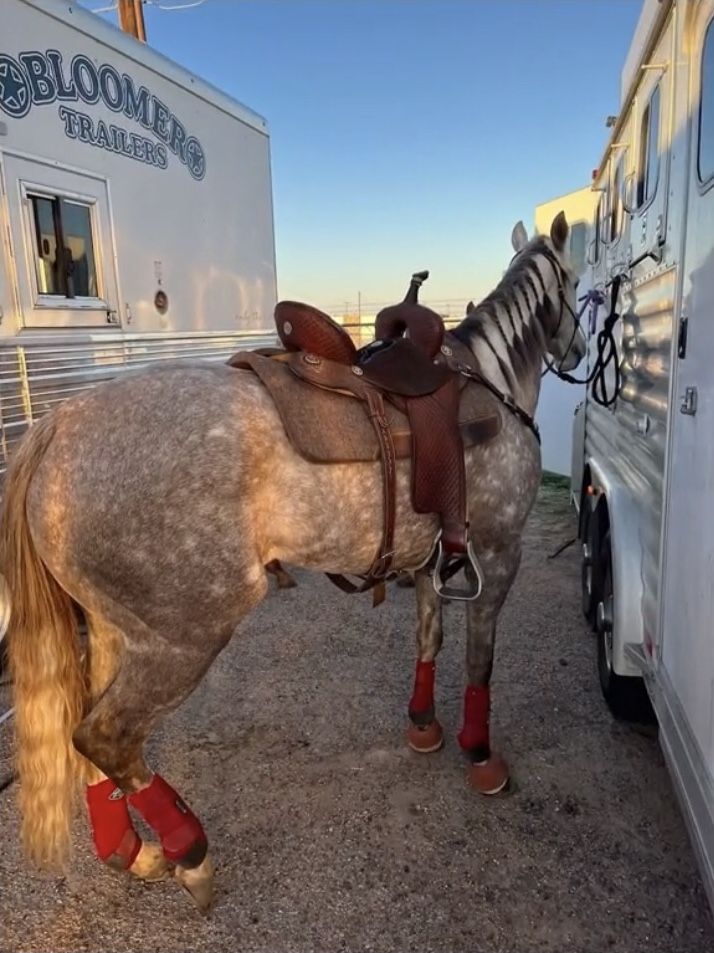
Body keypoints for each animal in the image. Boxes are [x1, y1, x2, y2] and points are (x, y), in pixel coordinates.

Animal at [2, 212, 584, 912]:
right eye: (576, 281)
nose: (580, 353)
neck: (489, 381)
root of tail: (56, 427)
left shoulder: (429, 561)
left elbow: (429, 638)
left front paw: (423, 725)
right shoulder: (498, 554)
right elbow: (480, 660)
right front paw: (479, 753)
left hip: (114, 630)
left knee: (84, 733)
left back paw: (131, 849)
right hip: (184, 638)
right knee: (107, 736)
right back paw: (189, 851)